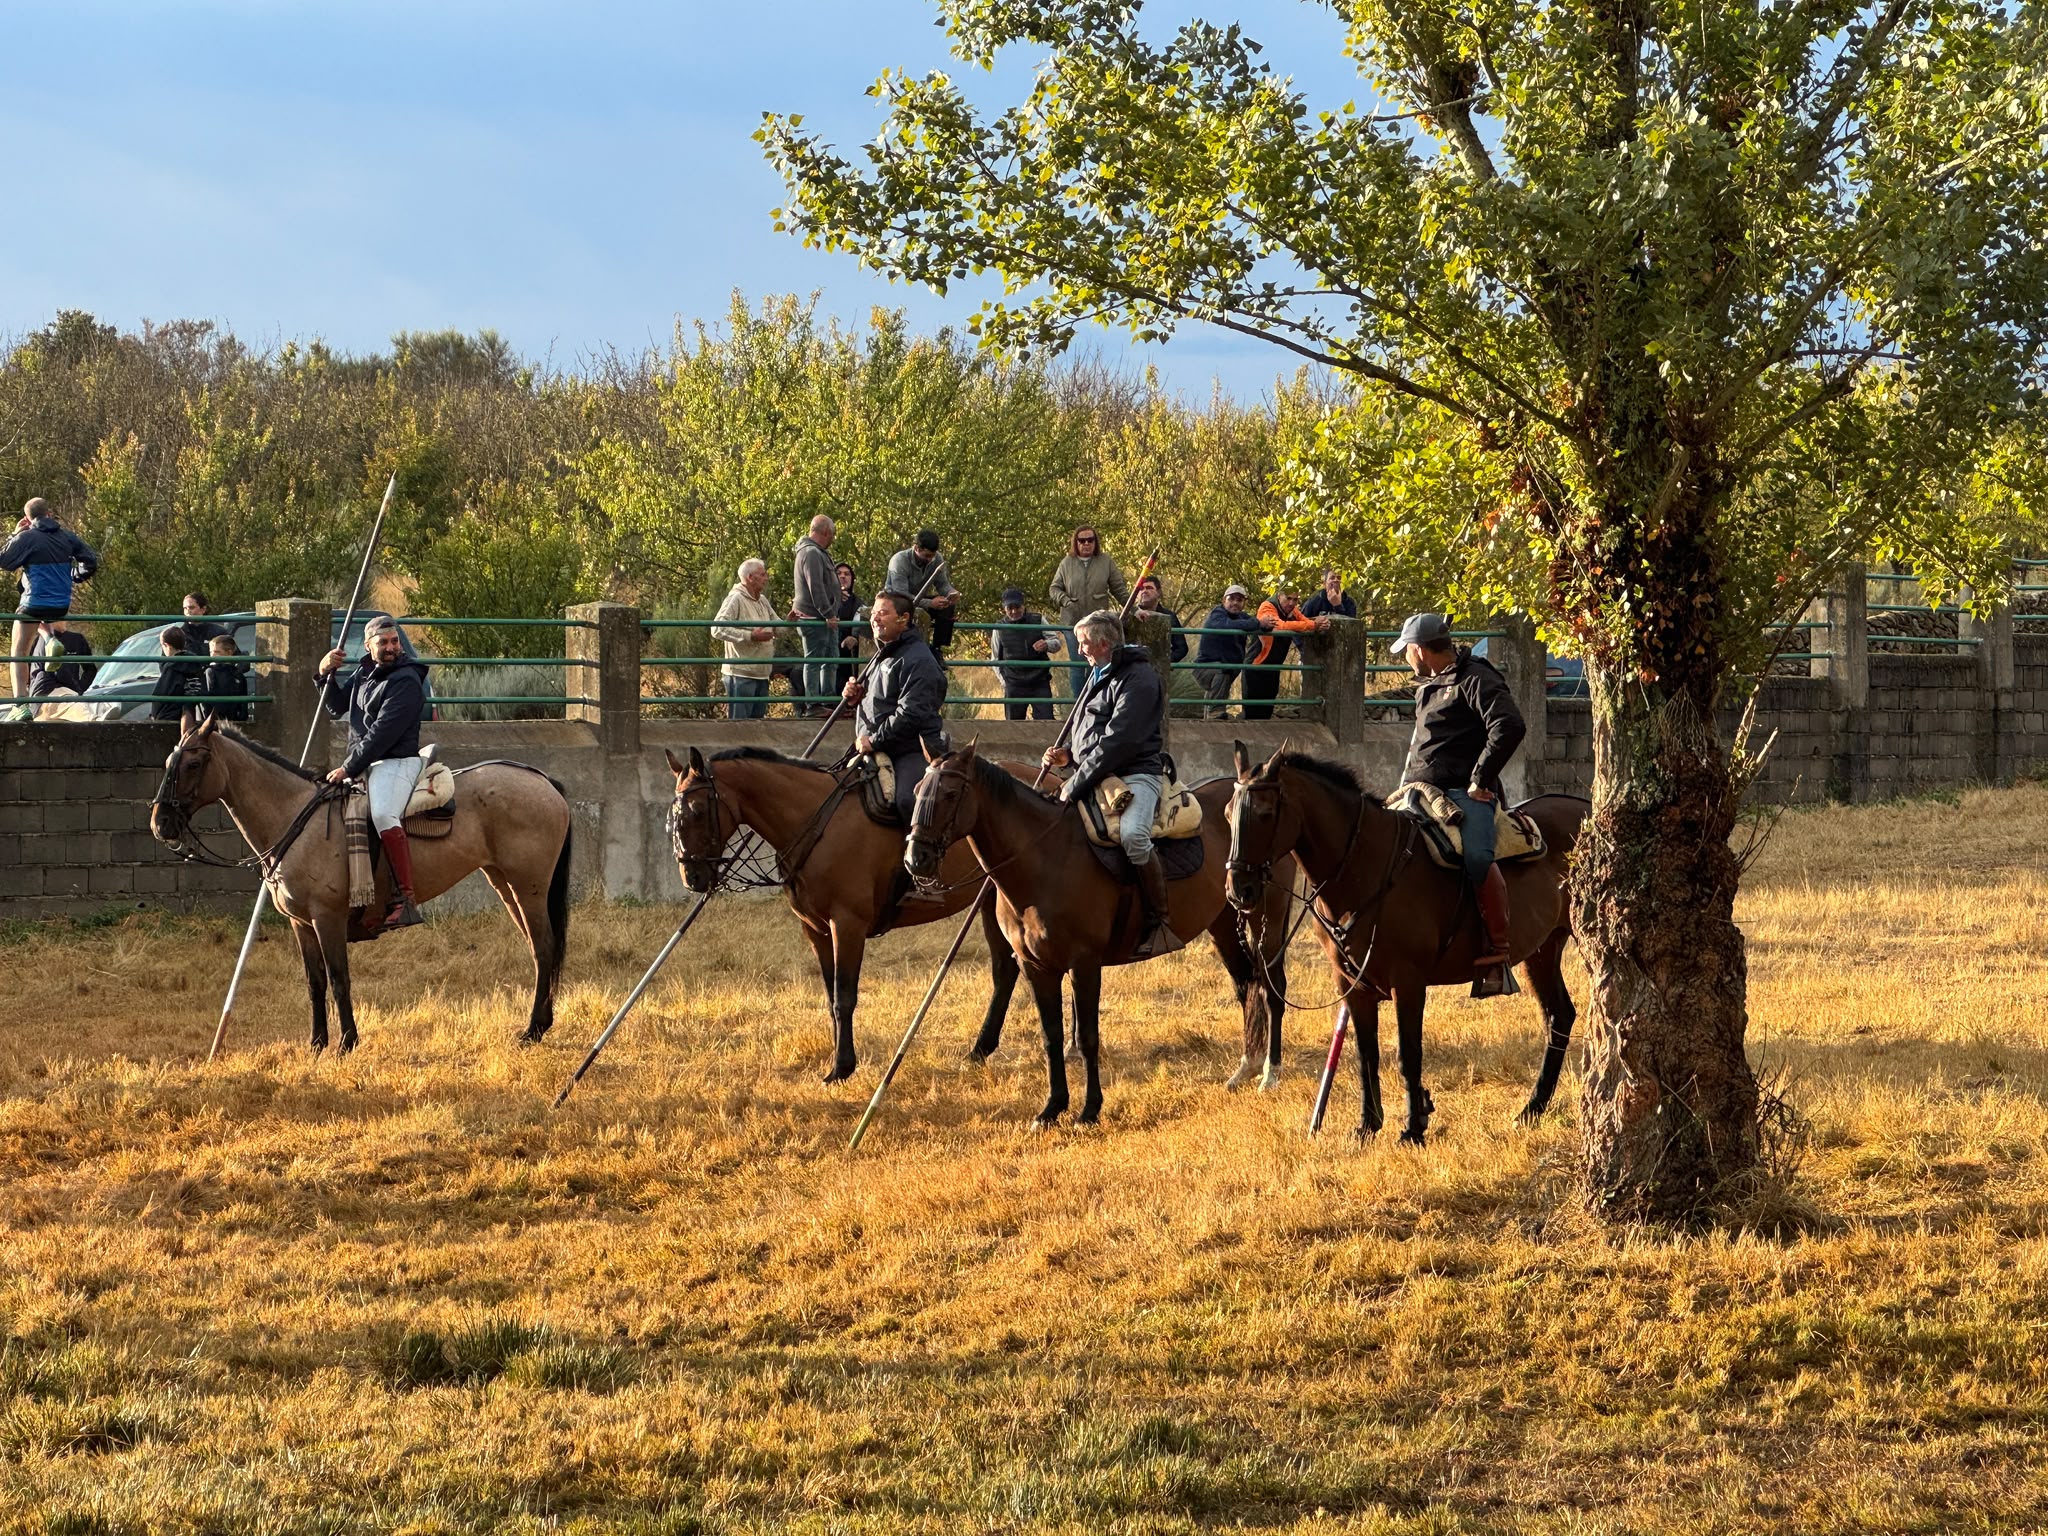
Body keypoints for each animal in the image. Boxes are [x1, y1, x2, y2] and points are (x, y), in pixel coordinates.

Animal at [151, 717, 573, 1054]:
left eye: (193, 763)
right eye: (169, 762)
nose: (161, 823)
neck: (297, 818)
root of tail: (543, 780)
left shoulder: (327, 919)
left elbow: (339, 979)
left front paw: (347, 1042)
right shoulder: (301, 924)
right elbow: (315, 982)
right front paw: (317, 1044)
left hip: (529, 888)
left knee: (544, 948)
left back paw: (533, 1030)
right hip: (506, 885)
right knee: (539, 949)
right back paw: (541, 1024)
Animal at [663, 745, 1029, 1084]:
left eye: (697, 810)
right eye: (672, 815)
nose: (692, 877)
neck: (816, 821)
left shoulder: (847, 924)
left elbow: (844, 996)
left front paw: (842, 1067)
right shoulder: (816, 929)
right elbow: (830, 997)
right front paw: (839, 1060)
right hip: (992, 899)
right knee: (1004, 970)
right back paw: (980, 1049)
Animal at [903, 741, 1298, 1128]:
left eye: (950, 793)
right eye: (918, 790)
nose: (915, 858)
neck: (1044, 858)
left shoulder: (1084, 964)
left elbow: (1088, 1037)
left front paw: (1089, 1111)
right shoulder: (1037, 967)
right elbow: (1051, 1036)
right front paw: (1052, 1108)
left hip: (1265, 921)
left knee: (1272, 988)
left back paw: (1270, 1073)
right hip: (1224, 923)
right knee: (1248, 986)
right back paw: (1246, 1067)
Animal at [1224, 743, 1588, 1144]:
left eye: (1264, 813)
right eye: (1227, 814)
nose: (1238, 890)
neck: (1367, 868)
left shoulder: (1408, 981)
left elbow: (1408, 1052)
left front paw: (1413, 1127)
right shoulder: (1352, 984)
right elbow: (1366, 1052)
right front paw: (1367, 1124)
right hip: (1543, 950)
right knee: (1559, 1015)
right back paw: (1532, 1108)